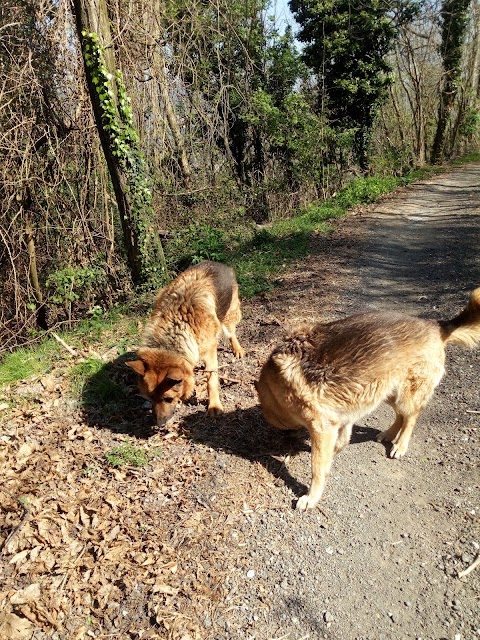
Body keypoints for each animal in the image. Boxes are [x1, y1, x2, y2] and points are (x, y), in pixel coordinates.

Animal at [127, 262, 244, 428]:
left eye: (168, 399)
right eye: (150, 398)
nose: (160, 424)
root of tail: (218, 264)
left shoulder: (210, 352)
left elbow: (211, 380)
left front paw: (214, 405)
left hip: (229, 316)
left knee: (231, 332)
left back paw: (237, 348)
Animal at [256, 288, 480, 510]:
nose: (286, 440)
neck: (274, 386)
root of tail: (436, 327)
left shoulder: (321, 428)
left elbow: (317, 467)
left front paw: (311, 497)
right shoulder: (342, 416)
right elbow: (341, 441)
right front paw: (334, 454)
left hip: (405, 396)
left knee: (411, 418)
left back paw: (400, 445)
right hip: (386, 392)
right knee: (400, 416)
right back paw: (389, 434)